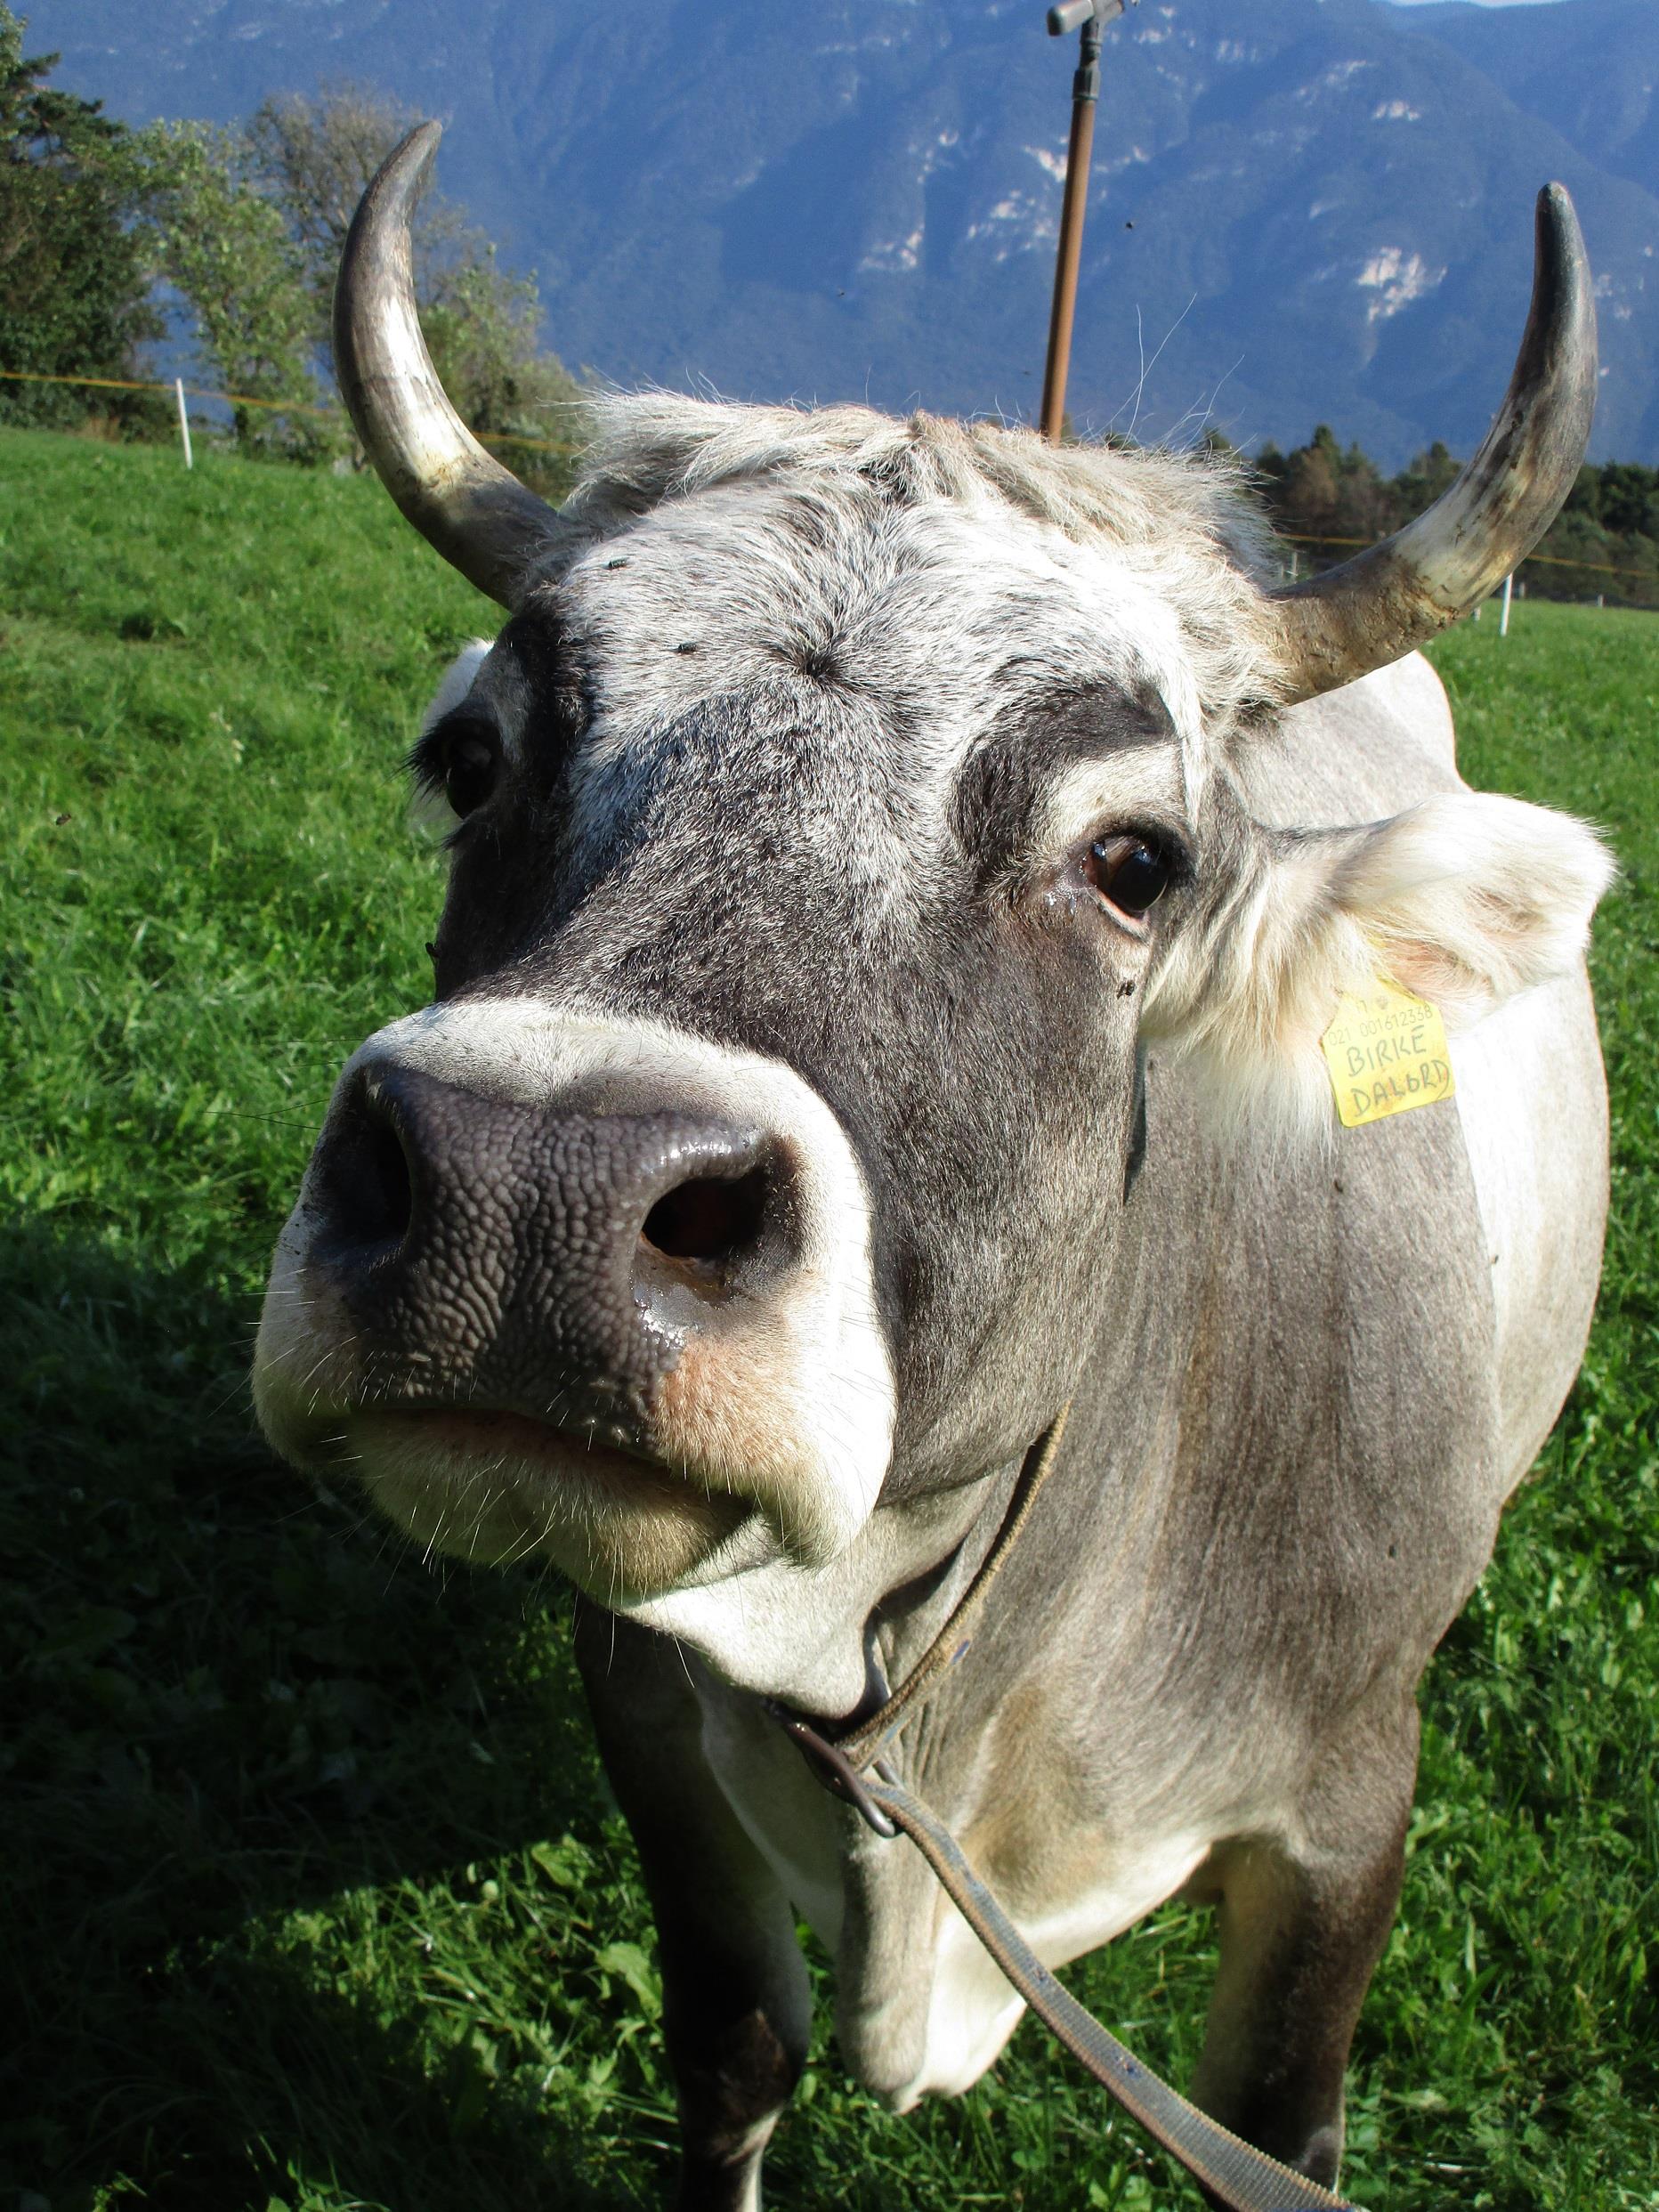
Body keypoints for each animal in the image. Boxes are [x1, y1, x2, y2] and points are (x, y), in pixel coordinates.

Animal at [253, 126, 1619, 2212]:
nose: (526, 1193)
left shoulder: (1338, 1821)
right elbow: (728, 2050)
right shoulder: (644, 1717)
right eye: (475, 758)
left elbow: (1279, 2130)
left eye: (1135, 860)